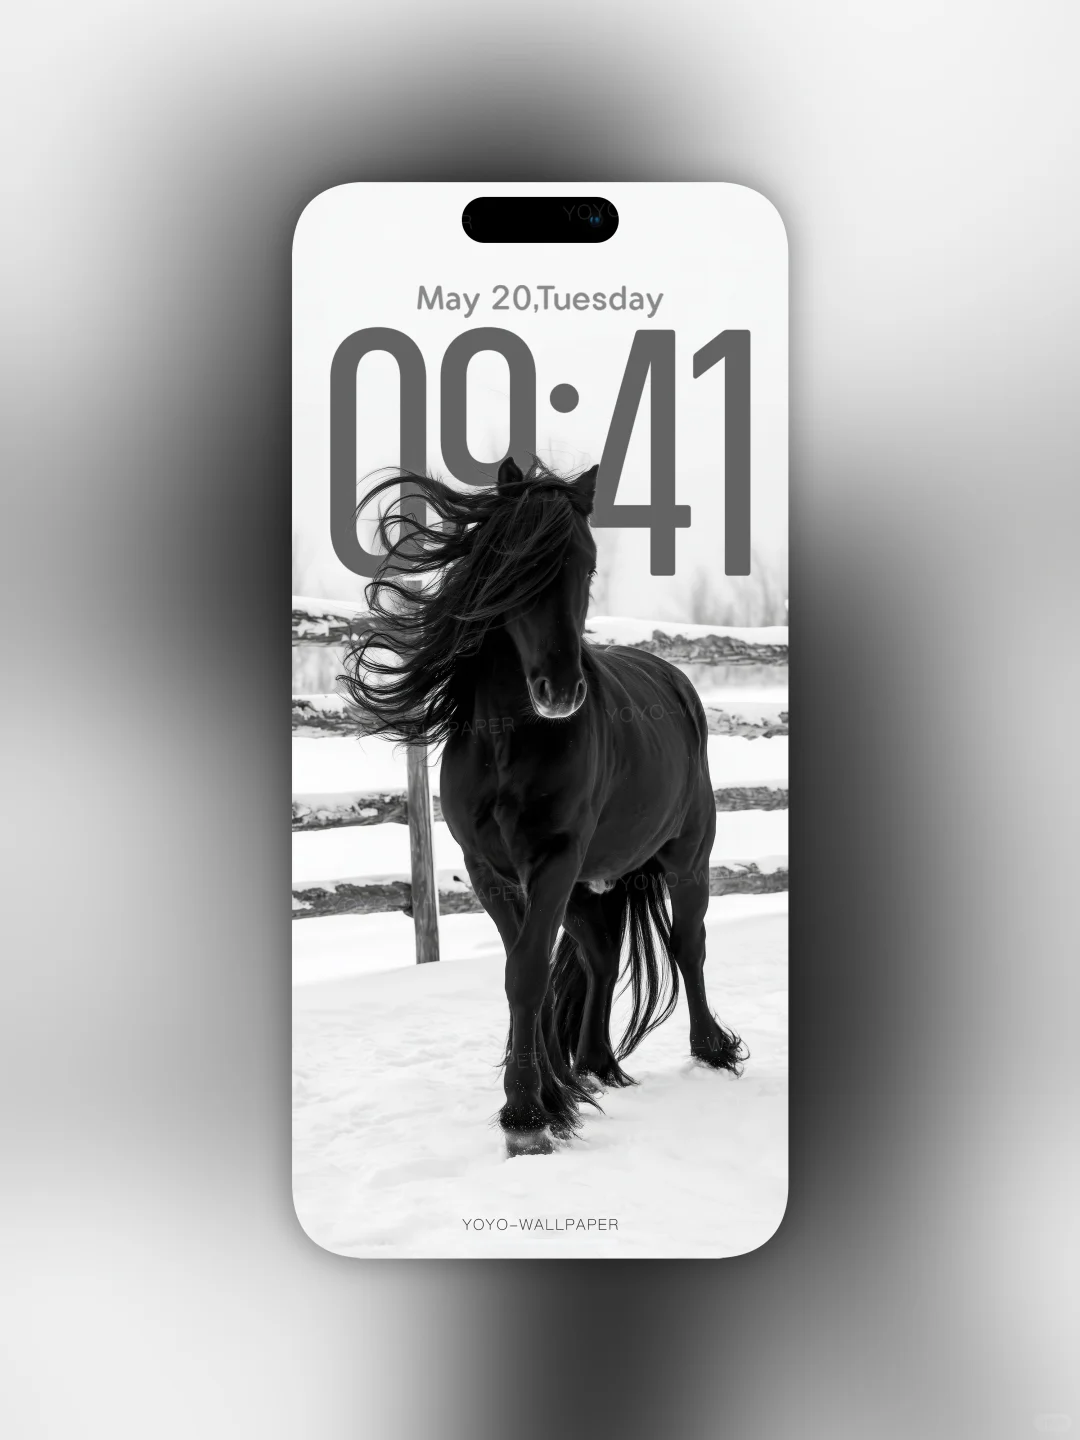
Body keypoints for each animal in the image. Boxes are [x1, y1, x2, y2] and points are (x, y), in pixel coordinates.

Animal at [341, 457, 746, 1156]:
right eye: (515, 562)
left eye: (586, 565)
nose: (561, 692)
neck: (512, 739)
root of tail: (675, 681)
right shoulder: (493, 872)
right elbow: (518, 969)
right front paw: (552, 1094)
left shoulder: (553, 861)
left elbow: (528, 972)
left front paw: (527, 1115)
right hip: (587, 886)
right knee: (602, 955)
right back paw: (595, 1065)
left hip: (685, 860)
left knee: (688, 945)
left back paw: (710, 1050)